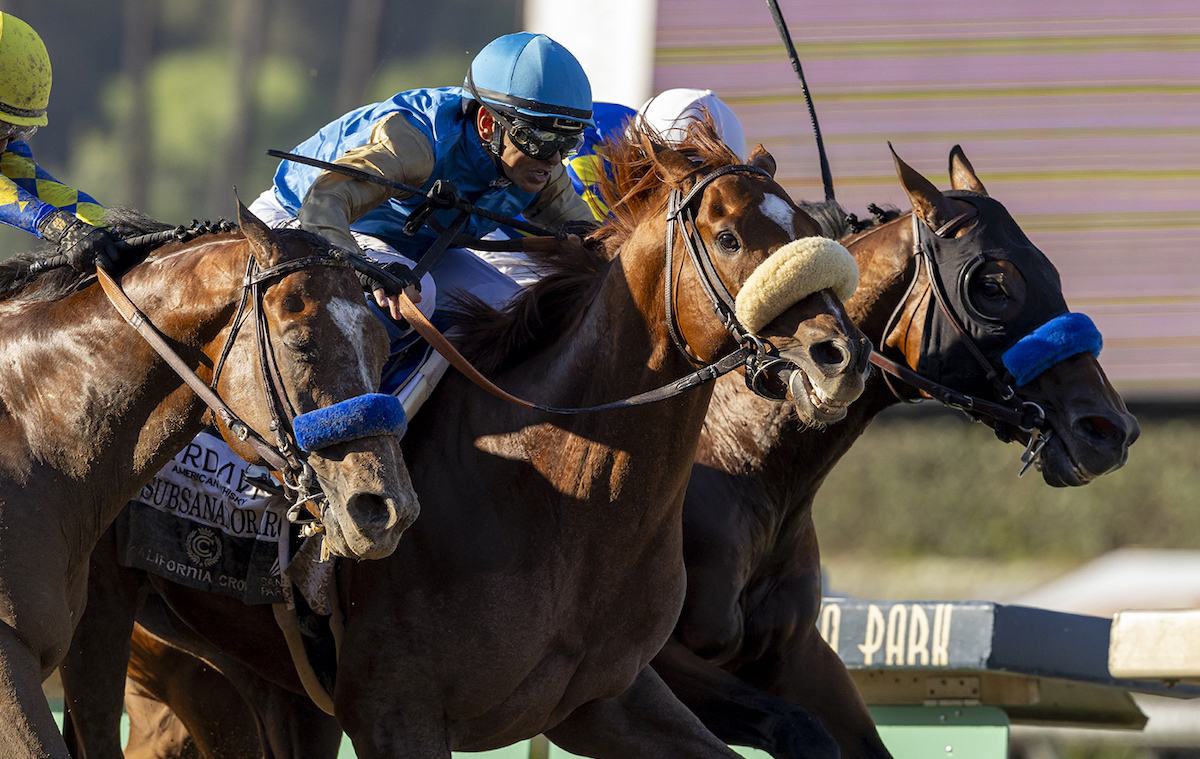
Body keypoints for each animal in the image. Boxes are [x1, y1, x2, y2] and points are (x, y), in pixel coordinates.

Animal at [60, 124, 868, 758]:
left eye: (806, 227)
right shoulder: (396, 712)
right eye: (729, 237)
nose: (841, 355)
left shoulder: (603, 701)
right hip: (149, 647)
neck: (562, 494)